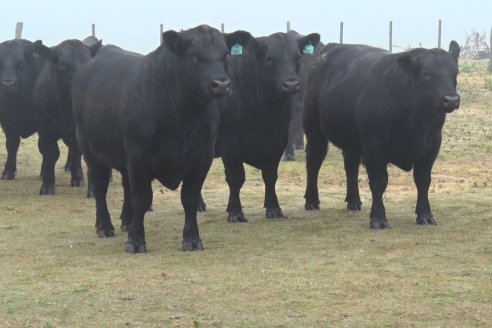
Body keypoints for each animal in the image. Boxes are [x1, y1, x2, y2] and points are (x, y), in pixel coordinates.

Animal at [0, 39, 45, 181]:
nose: (8, 84)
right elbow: (12, 144)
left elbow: (43, 146)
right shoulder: (6, 122)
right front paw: (8, 171)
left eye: (20, 63)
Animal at [72, 25, 254, 254]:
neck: (184, 118)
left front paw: (192, 239)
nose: (221, 84)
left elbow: (190, 198)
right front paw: (135, 241)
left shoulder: (202, 157)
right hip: (91, 151)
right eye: (194, 56)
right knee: (100, 186)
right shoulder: (139, 156)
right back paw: (105, 226)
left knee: (125, 185)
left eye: (225, 55)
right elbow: (141, 198)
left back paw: (126, 221)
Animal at [213, 31, 320, 223]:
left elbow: (270, 176)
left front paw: (274, 208)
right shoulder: (229, 145)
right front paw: (235, 212)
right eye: (270, 59)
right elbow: (235, 177)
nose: (291, 84)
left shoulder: (277, 142)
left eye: (297, 57)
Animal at [304, 41, 462, 229]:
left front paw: (425, 215)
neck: (416, 123)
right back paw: (311, 201)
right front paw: (378, 219)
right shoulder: (374, 146)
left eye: (455, 73)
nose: (451, 99)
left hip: (352, 142)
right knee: (314, 163)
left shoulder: (432, 145)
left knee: (351, 167)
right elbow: (379, 182)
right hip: (314, 130)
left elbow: (423, 180)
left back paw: (354, 201)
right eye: (426, 74)